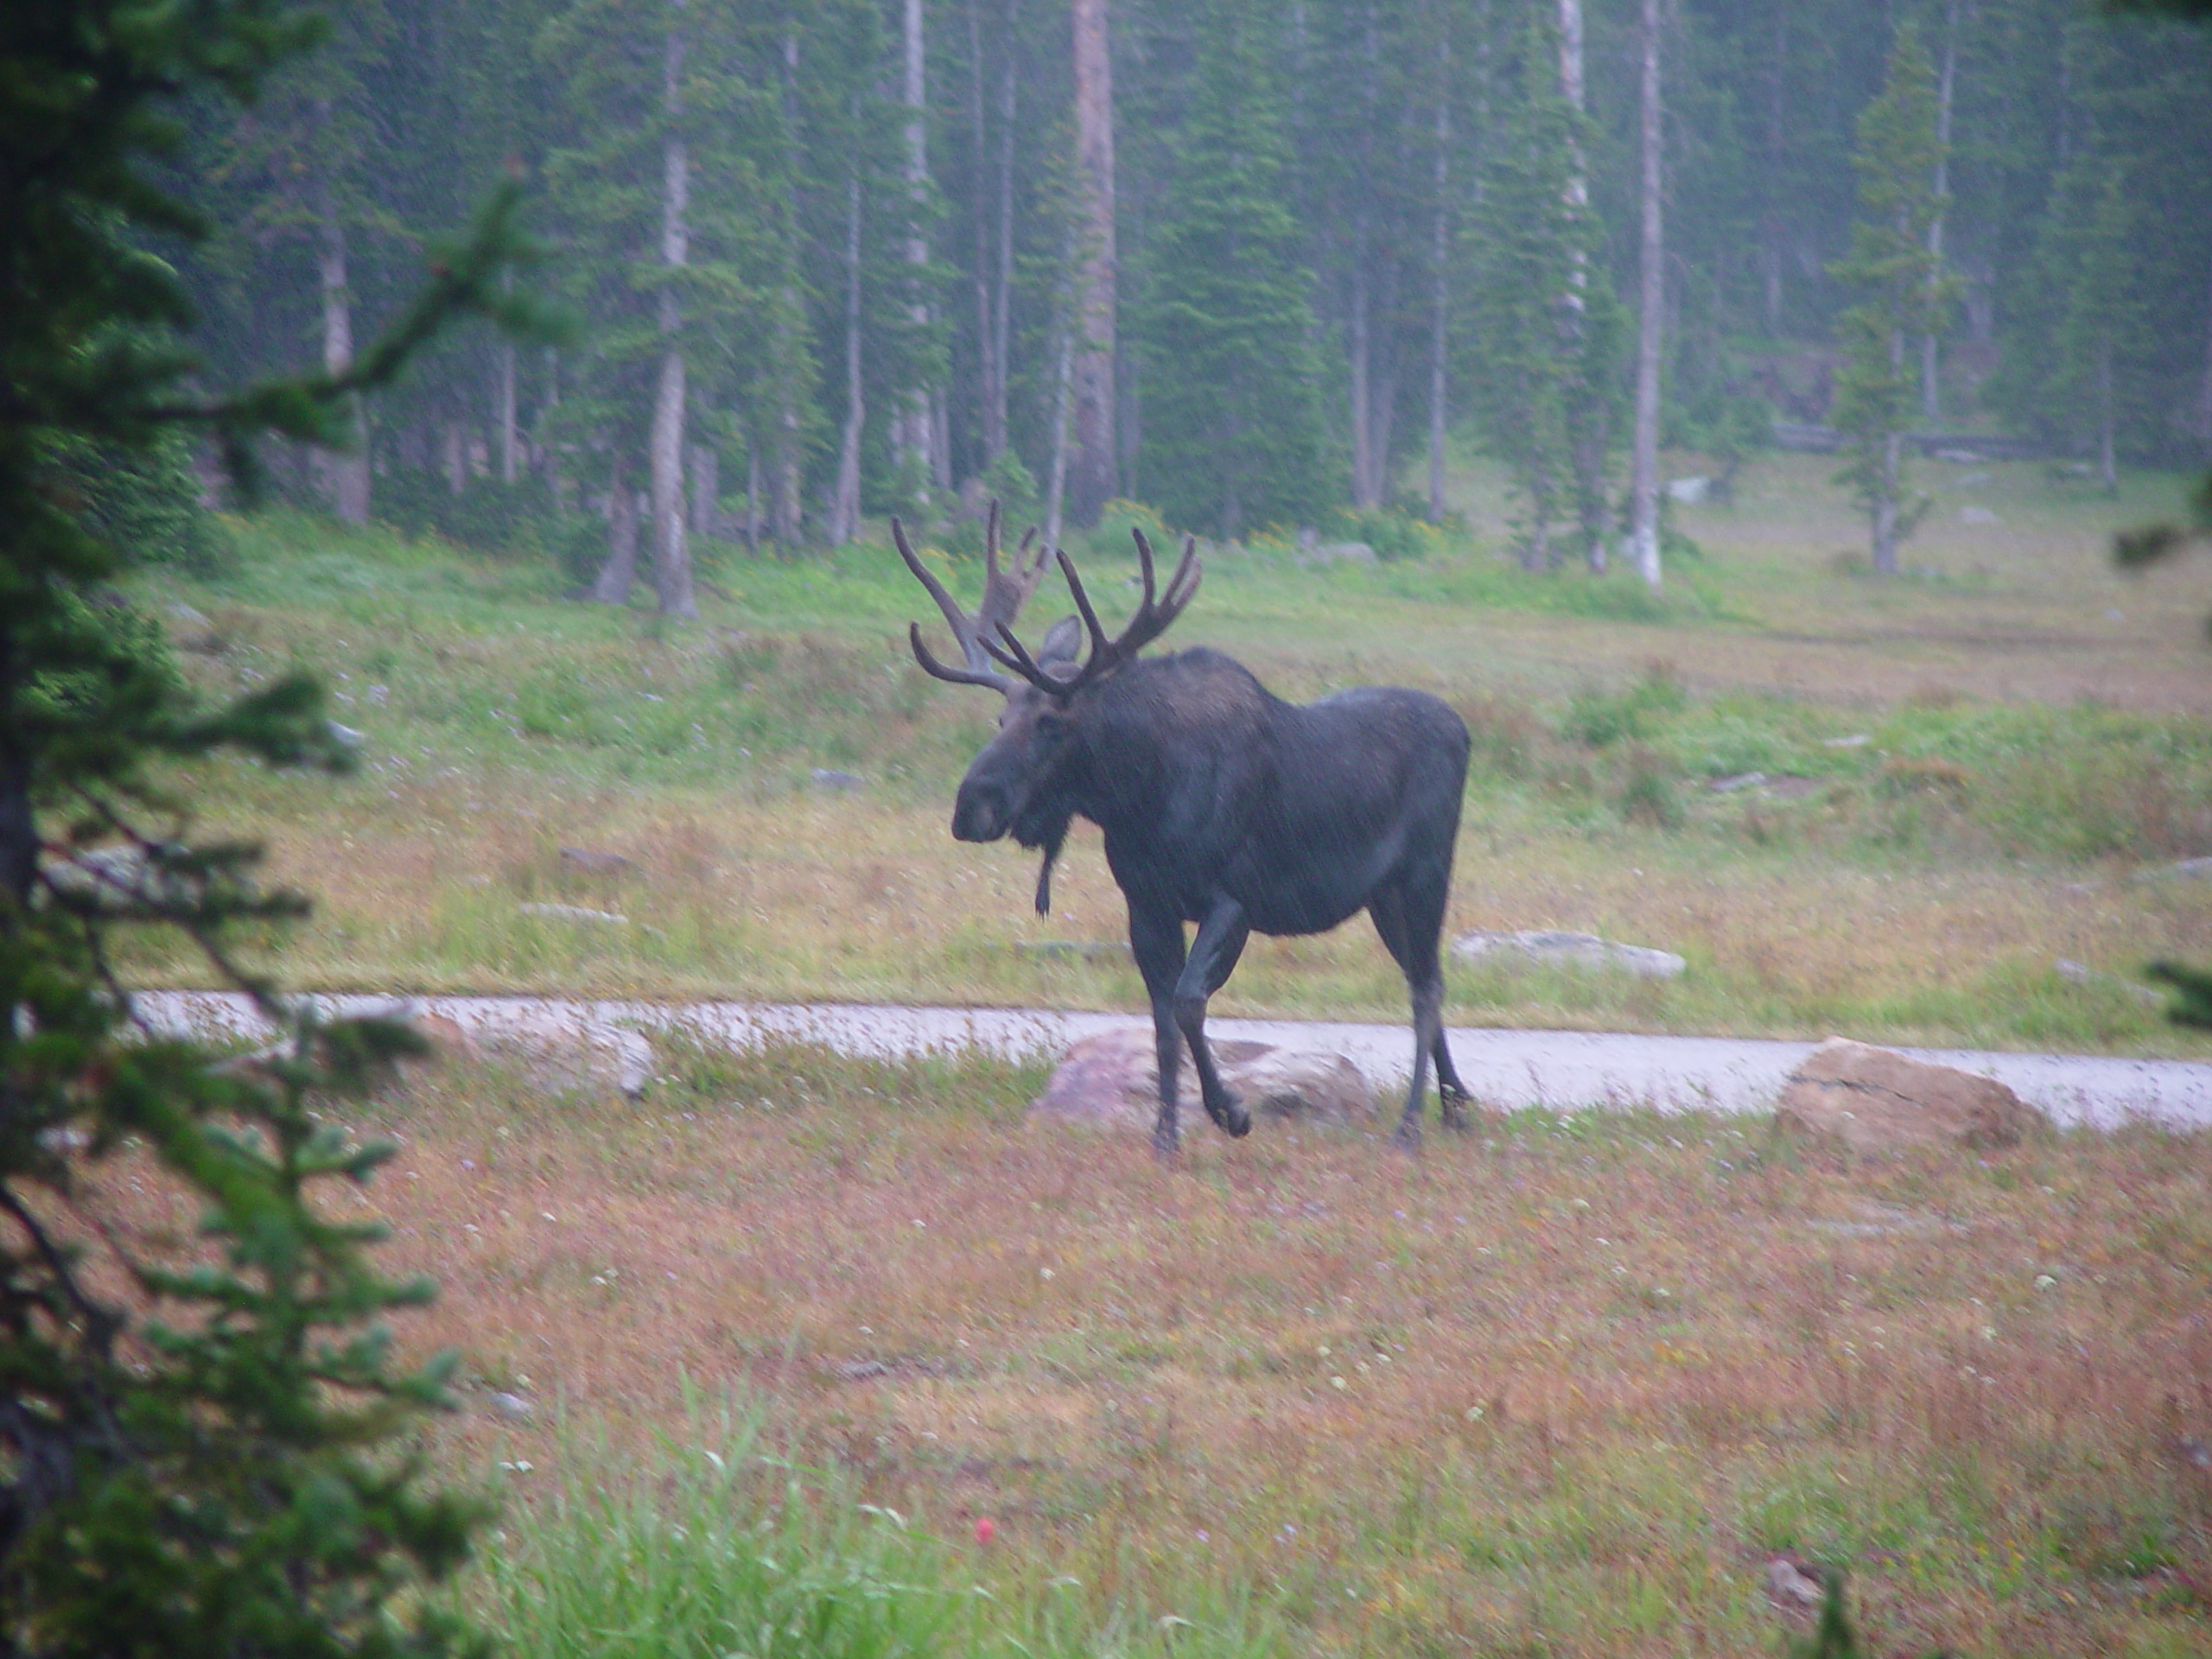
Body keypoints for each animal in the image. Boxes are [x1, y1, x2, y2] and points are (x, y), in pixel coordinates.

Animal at [889, 506, 1478, 1159]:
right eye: (1001, 717)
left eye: (1051, 722)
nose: (971, 806)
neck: (1140, 798)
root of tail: (1465, 731)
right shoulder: (1146, 905)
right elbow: (1161, 1022)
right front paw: (1165, 1137)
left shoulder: (1234, 900)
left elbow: (1190, 1002)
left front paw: (1231, 1112)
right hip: (1382, 897)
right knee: (1425, 977)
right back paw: (1457, 1106)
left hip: (1426, 874)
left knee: (1426, 989)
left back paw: (1410, 1128)